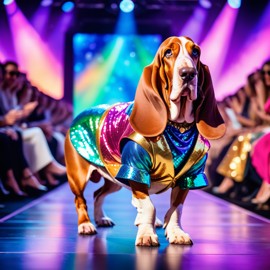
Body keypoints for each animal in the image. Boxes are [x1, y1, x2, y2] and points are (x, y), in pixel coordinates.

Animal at [65, 36, 226, 247]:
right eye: (168, 52)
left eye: (195, 52)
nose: (188, 74)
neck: (177, 126)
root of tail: (80, 114)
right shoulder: (136, 171)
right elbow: (149, 207)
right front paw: (146, 235)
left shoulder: (189, 177)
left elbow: (176, 209)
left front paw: (176, 233)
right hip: (78, 176)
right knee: (80, 199)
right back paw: (86, 224)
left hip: (114, 178)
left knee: (97, 194)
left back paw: (101, 218)